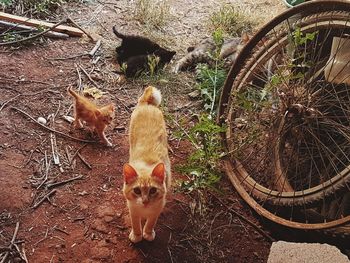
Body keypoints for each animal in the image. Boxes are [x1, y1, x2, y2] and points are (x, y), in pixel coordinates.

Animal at [123, 86, 171, 243]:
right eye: (137, 190)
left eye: (153, 190)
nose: (145, 201)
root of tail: (147, 104)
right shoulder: (132, 208)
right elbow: (135, 223)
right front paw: (137, 235)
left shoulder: (158, 207)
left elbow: (151, 222)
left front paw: (148, 233)